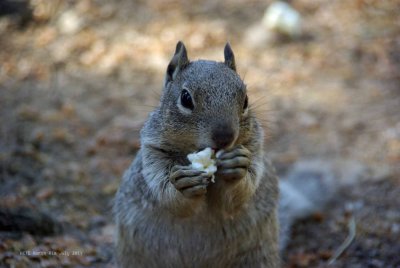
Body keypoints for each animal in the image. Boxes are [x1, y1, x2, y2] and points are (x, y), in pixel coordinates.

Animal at [113, 40, 340, 266]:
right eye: (185, 98)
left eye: (246, 99)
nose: (225, 137)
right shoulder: (153, 152)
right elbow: (164, 191)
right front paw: (182, 184)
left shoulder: (255, 148)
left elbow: (237, 195)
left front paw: (236, 167)